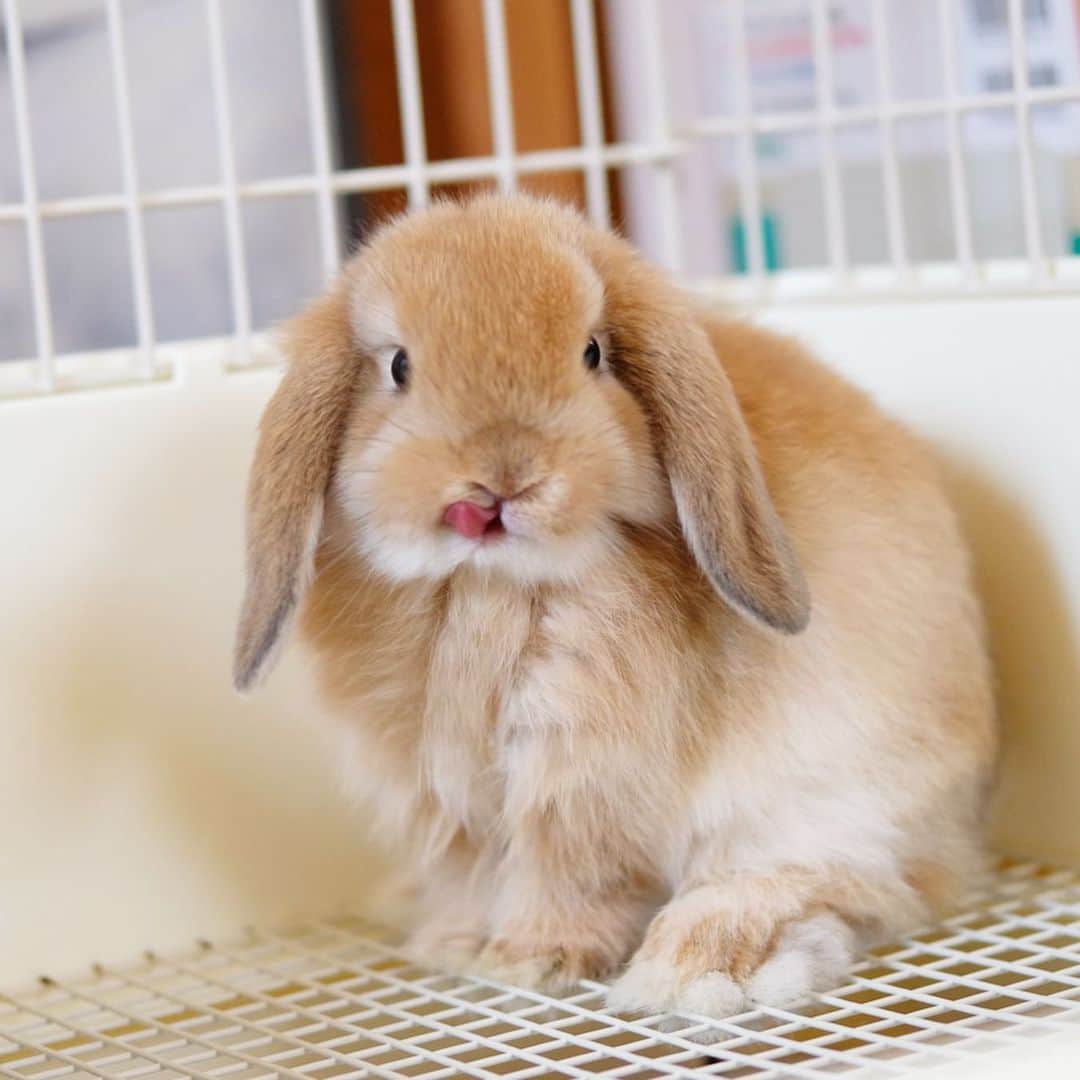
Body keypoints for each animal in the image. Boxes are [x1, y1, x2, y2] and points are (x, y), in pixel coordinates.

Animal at [234, 194, 996, 1017]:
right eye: (399, 366)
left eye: (592, 353)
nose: (503, 479)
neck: (484, 589)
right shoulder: (449, 802)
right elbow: (472, 879)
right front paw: (457, 945)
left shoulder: (577, 784)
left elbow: (571, 876)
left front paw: (532, 960)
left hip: (831, 797)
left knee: (847, 884)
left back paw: (698, 968)